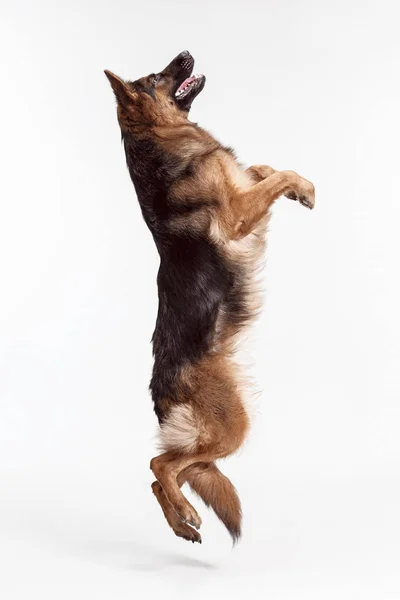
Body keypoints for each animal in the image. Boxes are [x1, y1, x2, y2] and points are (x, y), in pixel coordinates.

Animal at [104, 51, 316, 548]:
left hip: (211, 436)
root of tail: (161, 390)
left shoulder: (243, 191)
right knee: (159, 463)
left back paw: (182, 525)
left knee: (165, 474)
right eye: (157, 77)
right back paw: (186, 516)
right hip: (232, 426)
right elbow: (276, 174)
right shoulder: (238, 214)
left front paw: (297, 189)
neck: (161, 140)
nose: (184, 54)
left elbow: (264, 169)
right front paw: (304, 187)